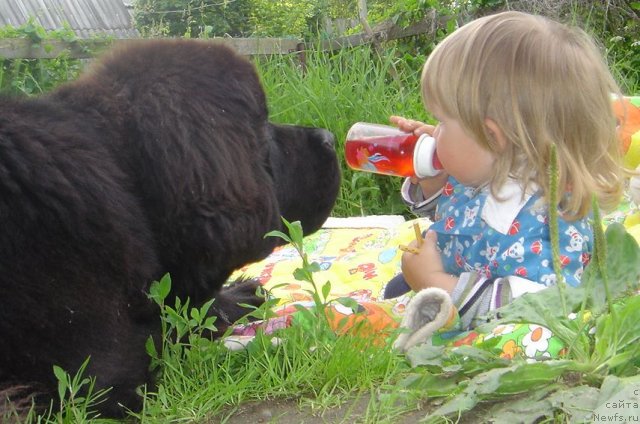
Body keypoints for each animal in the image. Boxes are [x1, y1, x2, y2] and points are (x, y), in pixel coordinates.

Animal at [0, 39, 342, 418]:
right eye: (263, 125)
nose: (329, 137)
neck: (128, 179)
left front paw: (237, 296)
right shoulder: (92, 378)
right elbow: (175, 335)